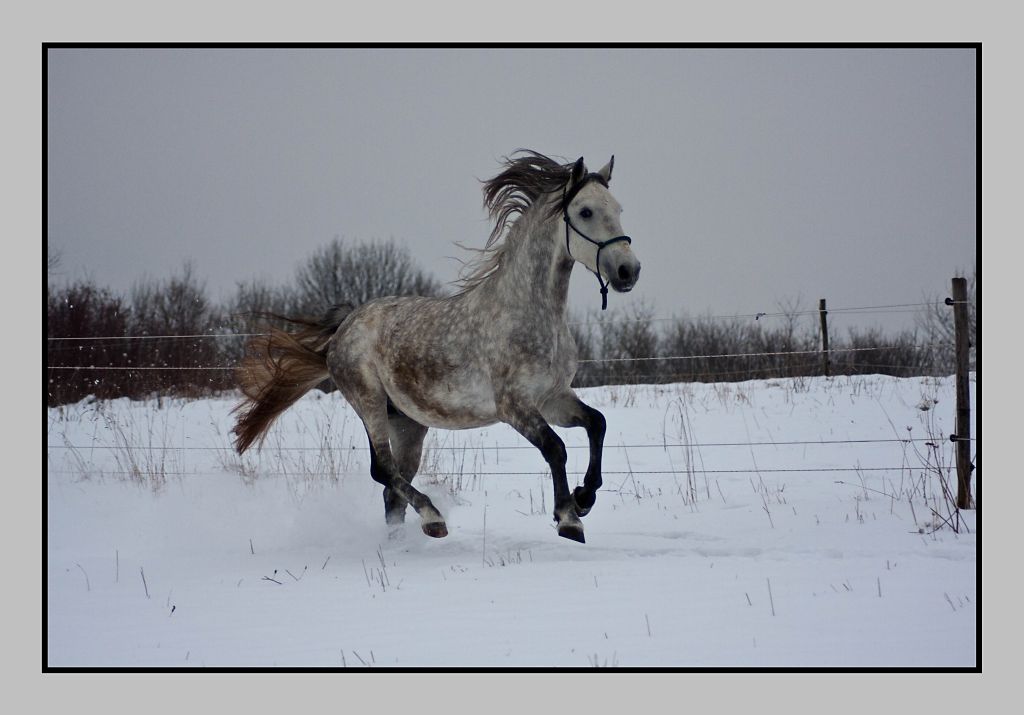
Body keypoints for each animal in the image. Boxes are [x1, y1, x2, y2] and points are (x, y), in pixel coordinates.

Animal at [232, 151, 638, 540]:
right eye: (586, 211)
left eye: (619, 209)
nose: (628, 271)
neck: (528, 312)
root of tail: (344, 328)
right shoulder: (515, 406)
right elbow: (556, 449)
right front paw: (569, 518)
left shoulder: (553, 398)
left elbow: (597, 424)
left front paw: (584, 498)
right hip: (369, 401)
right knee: (383, 470)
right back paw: (433, 518)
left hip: (408, 423)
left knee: (393, 488)